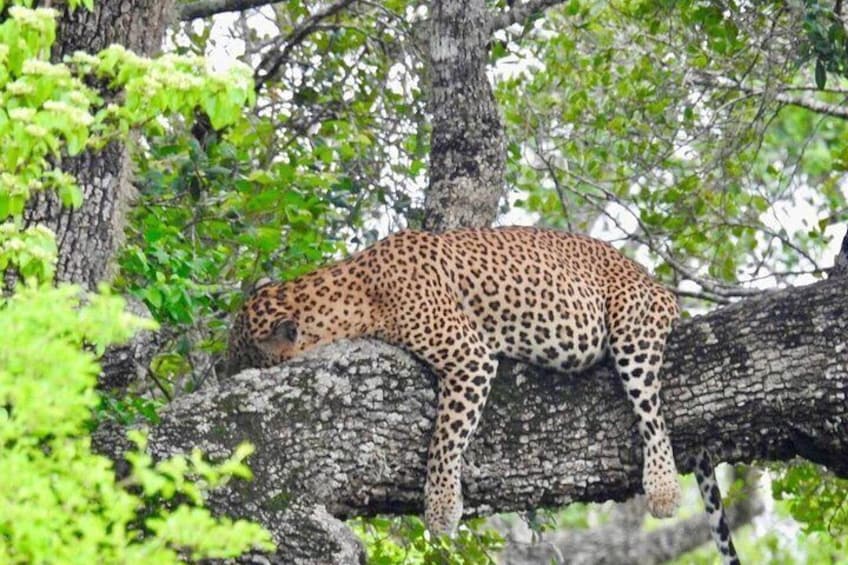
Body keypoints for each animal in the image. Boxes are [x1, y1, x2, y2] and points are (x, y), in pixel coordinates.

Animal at [227, 226, 739, 564]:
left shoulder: (469, 357)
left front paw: (440, 509)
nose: (219, 373)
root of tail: (660, 287)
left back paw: (663, 489)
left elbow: (445, 439)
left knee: (652, 412)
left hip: (634, 328)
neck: (351, 288)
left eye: (240, 357)